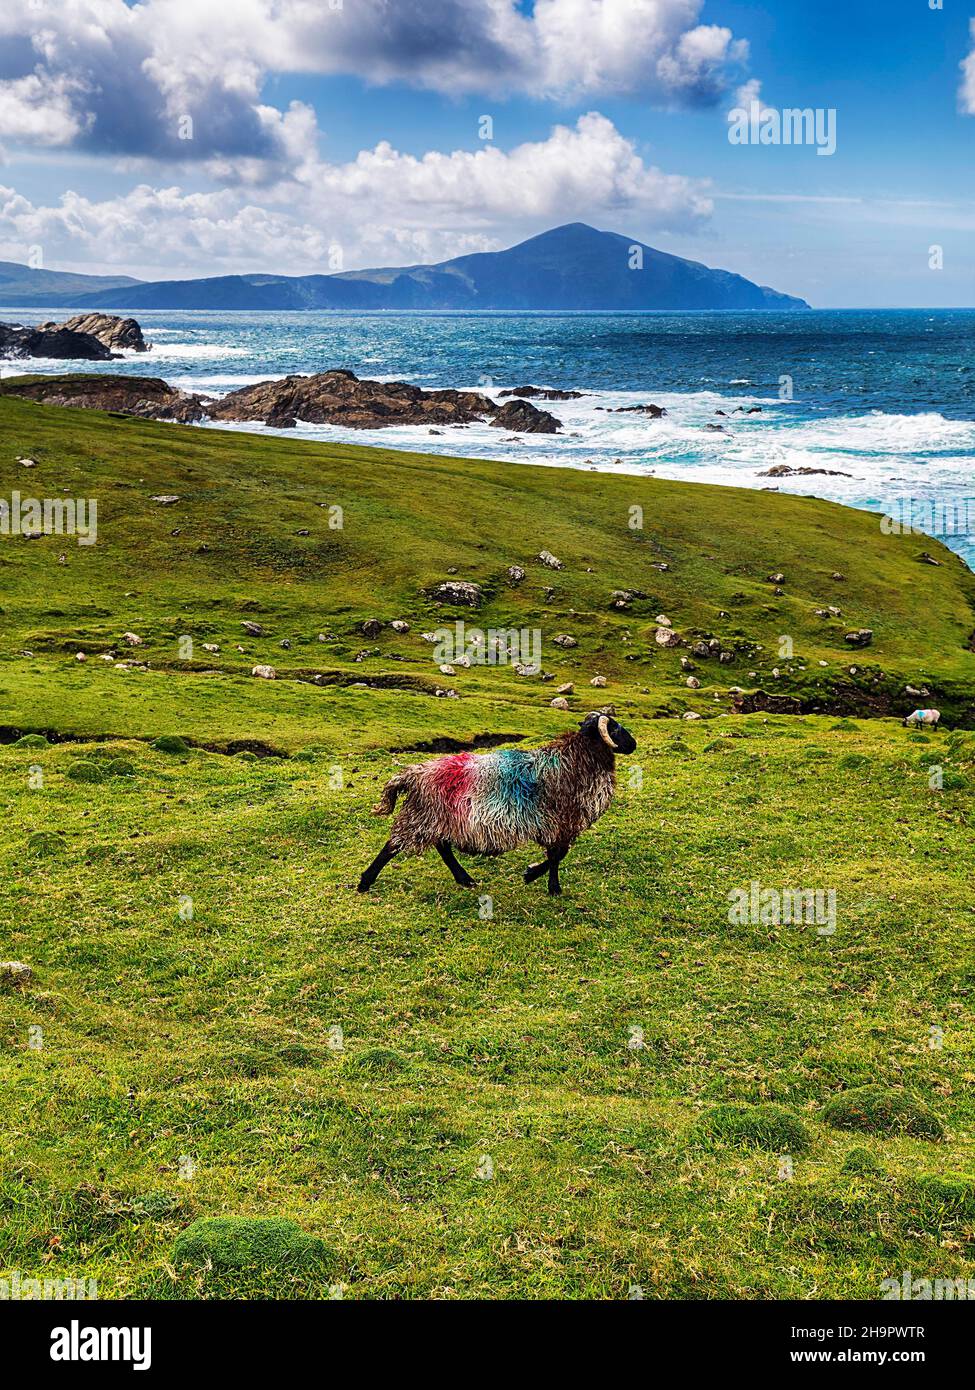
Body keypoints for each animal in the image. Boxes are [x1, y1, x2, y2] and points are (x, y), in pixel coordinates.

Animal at [357, 712, 637, 896]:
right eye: (615, 728)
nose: (633, 744)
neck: (578, 758)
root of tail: (414, 774)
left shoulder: (556, 824)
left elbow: (557, 855)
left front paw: (536, 876)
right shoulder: (559, 822)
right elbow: (557, 855)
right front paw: (547, 884)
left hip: (438, 818)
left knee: (443, 848)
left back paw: (465, 879)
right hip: (422, 815)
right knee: (392, 846)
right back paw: (364, 882)